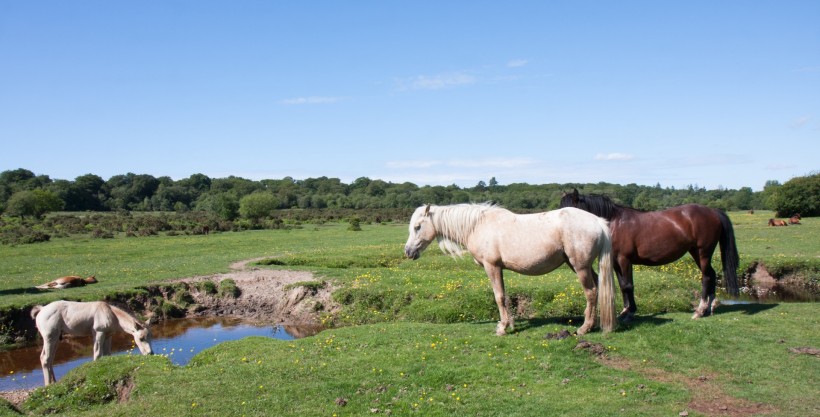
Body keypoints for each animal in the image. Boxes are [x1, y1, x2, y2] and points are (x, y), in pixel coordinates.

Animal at [404, 203, 616, 336]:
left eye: (418, 226)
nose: (408, 251)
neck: (477, 226)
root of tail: (598, 222)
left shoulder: (492, 267)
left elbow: (498, 297)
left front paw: (502, 328)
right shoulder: (499, 268)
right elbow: (505, 296)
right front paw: (509, 324)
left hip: (580, 267)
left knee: (591, 292)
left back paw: (584, 328)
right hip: (580, 266)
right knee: (598, 288)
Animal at [560, 190, 739, 322]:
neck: (613, 223)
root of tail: (713, 211)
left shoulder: (624, 260)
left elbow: (628, 286)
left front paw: (629, 313)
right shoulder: (616, 261)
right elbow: (623, 285)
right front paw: (626, 311)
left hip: (702, 252)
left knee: (706, 277)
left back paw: (700, 310)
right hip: (697, 252)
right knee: (712, 274)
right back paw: (710, 307)